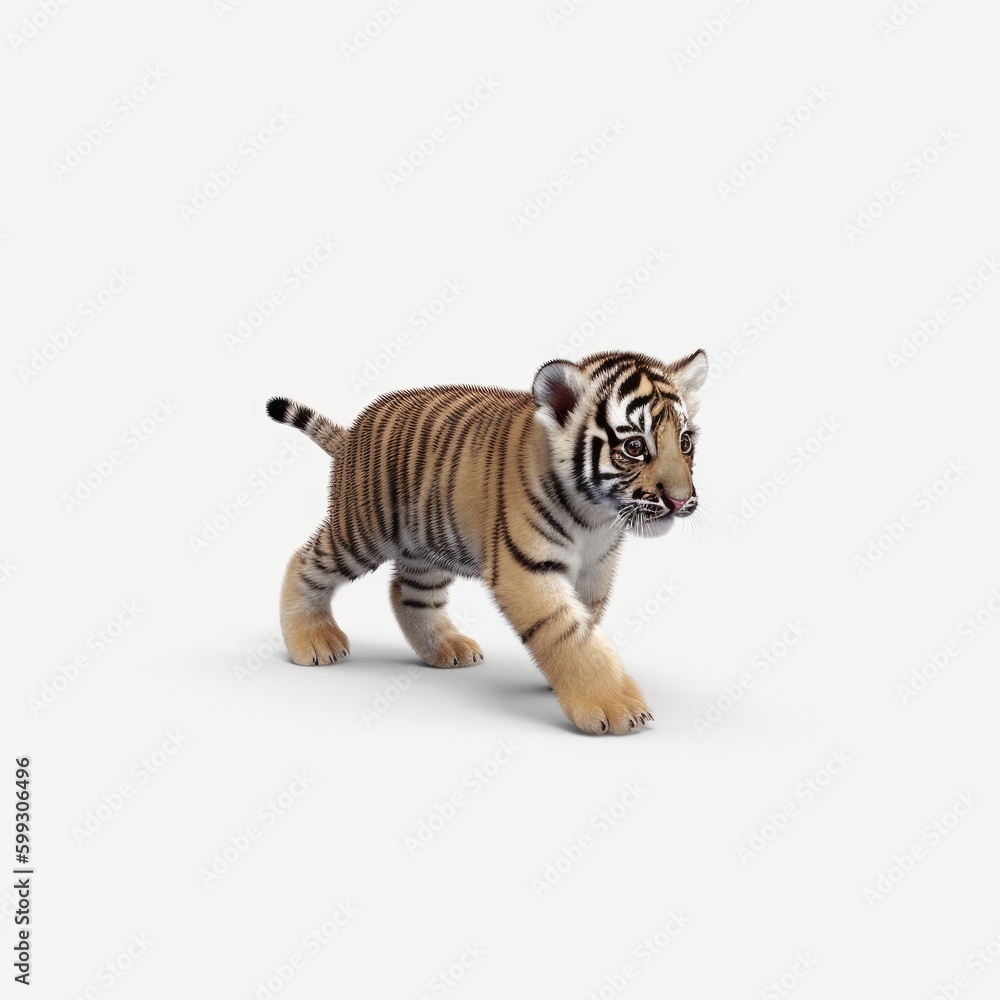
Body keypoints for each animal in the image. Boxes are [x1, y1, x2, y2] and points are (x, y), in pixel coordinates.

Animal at [266, 348, 708, 735]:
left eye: (685, 442)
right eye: (634, 447)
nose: (680, 500)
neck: (596, 519)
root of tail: (352, 432)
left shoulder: (596, 570)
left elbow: (586, 622)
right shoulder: (527, 569)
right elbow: (569, 633)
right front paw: (614, 707)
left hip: (428, 546)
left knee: (408, 595)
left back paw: (446, 649)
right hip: (362, 530)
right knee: (304, 561)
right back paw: (311, 642)